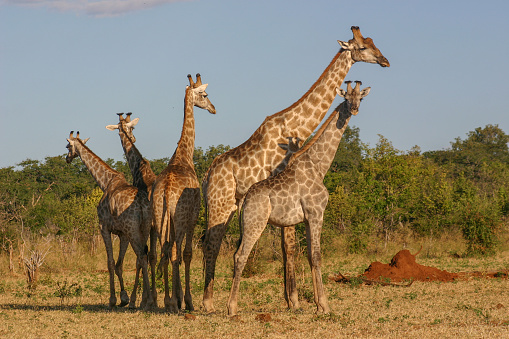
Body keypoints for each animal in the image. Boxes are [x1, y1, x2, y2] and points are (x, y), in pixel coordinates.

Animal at [63, 131, 152, 310]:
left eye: (68, 146)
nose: (67, 158)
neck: (105, 182)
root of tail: (141, 203)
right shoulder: (122, 234)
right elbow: (119, 264)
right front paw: (124, 298)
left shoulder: (103, 227)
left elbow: (110, 263)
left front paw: (113, 299)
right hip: (143, 228)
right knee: (143, 258)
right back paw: (144, 299)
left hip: (133, 230)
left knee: (142, 256)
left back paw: (147, 301)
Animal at [150, 74, 215, 314]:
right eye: (204, 94)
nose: (213, 108)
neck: (184, 154)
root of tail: (167, 190)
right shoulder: (192, 219)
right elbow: (187, 255)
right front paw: (187, 300)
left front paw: (177, 298)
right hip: (178, 221)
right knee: (175, 254)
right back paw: (176, 302)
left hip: (160, 217)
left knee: (165, 252)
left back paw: (168, 301)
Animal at [226, 81, 370, 318]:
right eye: (346, 97)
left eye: (361, 97)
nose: (355, 109)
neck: (319, 165)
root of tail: (244, 200)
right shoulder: (316, 213)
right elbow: (317, 256)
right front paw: (325, 306)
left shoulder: (307, 218)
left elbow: (311, 256)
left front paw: (318, 305)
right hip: (255, 222)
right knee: (240, 256)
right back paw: (232, 308)